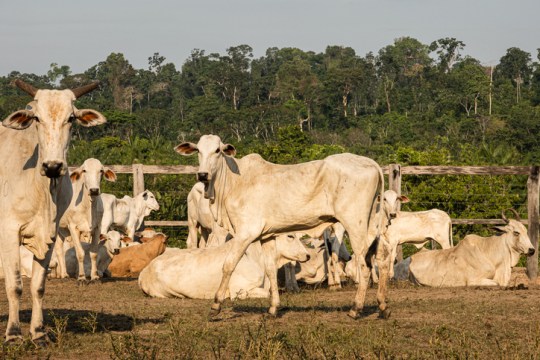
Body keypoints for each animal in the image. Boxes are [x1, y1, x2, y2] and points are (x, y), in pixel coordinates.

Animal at [0, 79, 105, 344]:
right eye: (37, 118)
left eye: (71, 118)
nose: (53, 166)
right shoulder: (8, 231)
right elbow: (15, 286)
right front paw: (13, 333)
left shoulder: (50, 232)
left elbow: (38, 285)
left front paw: (38, 333)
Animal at [175, 134, 386, 318]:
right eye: (198, 150)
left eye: (218, 150)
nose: (202, 174)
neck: (234, 182)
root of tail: (371, 162)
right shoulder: (267, 236)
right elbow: (270, 269)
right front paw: (273, 308)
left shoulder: (245, 233)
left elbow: (228, 265)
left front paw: (216, 305)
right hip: (371, 224)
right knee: (381, 259)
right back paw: (382, 306)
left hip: (355, 224)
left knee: (364, 265)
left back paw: (356, 308)